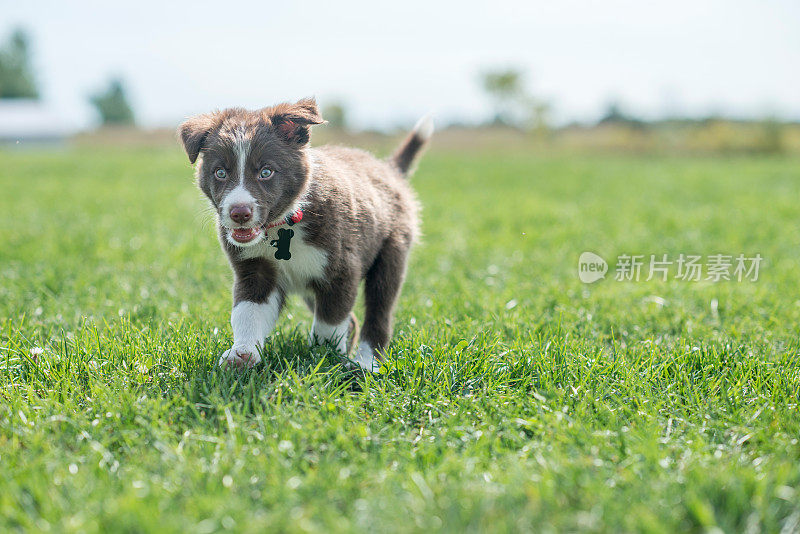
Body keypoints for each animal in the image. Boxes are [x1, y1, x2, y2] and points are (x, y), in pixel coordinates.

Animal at [179, 97, 432, 372]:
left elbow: (329, 322)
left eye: (266, 172)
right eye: (220, 173)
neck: (284, 222)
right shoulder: (254, 269)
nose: (239, 213)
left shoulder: (341, 269)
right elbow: (247, 312)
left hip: (391, 251)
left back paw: (366, 361)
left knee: (379, 310)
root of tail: (389, 169)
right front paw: (242, 354)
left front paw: (323, 357)